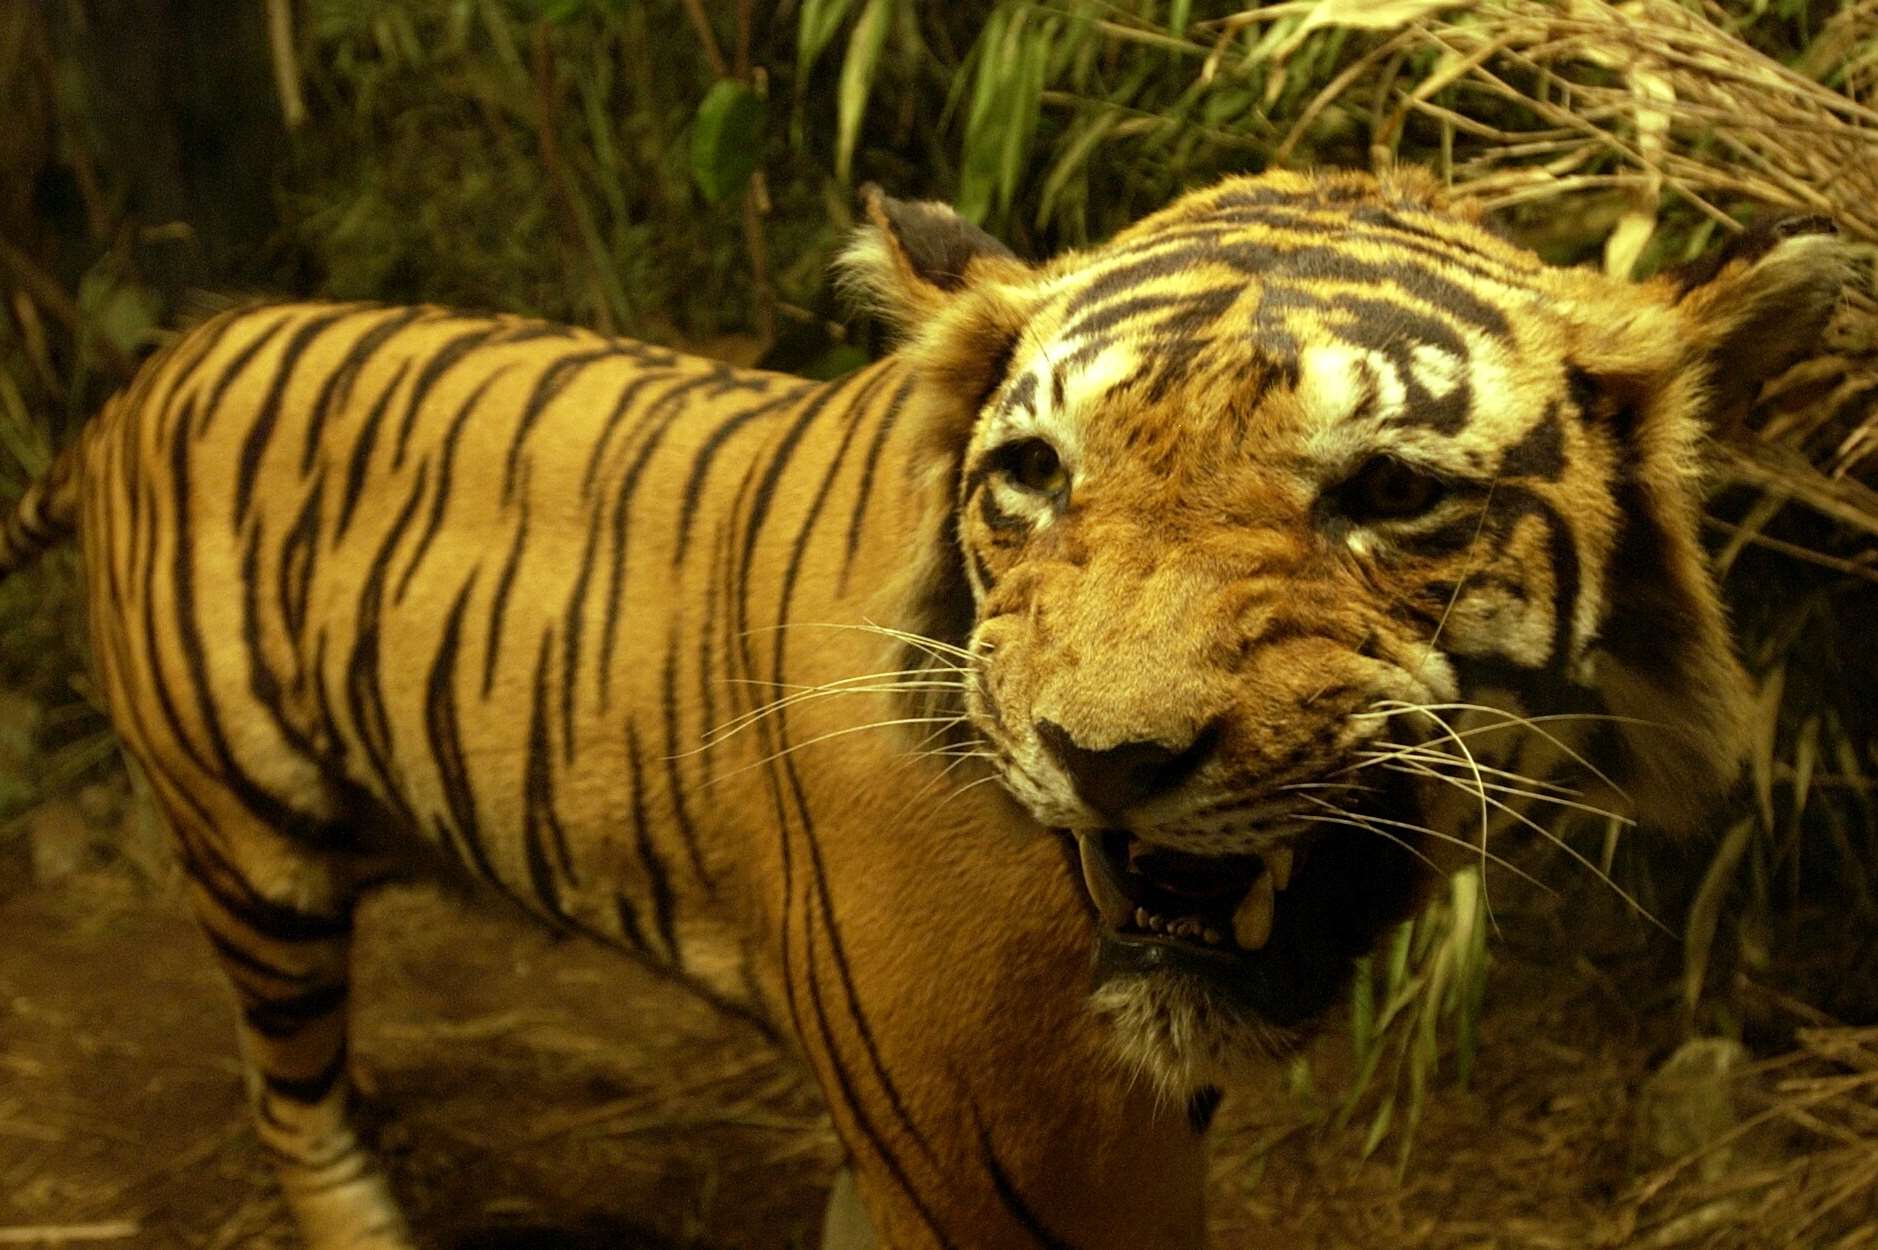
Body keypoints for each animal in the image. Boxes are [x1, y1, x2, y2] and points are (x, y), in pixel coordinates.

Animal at [0, 167, 1847, 1246]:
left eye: (1387, 494)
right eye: (1031, 475)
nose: (1105, 761)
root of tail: (130, 383)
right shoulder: (1001, 1145)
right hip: (254, 852)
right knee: (287, 1097)